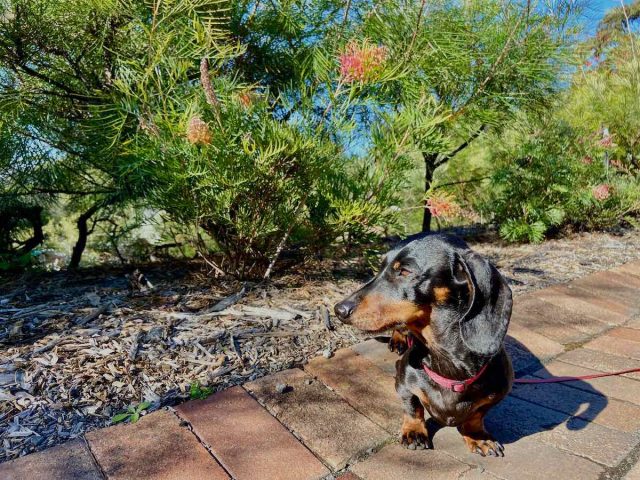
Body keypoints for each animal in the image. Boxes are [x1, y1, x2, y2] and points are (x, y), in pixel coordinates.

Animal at [332, 232, 512, 458]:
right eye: (379, 268)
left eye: (405, 271)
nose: (339, 310)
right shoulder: (402, 380)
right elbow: (412, 406)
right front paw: (414, 431)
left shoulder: (498, 391)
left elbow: (476, 415)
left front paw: (478, 437)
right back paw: (398, 339)